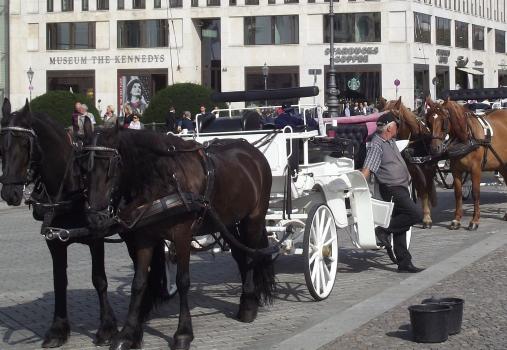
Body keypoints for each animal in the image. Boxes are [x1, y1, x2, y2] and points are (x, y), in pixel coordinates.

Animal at [0, 100, 167, 348]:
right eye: (1, 144)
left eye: (24, 143)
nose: (9, 194)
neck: (69, 184)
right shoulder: (55, 240)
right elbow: (59, 280)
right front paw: (58, 329)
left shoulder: (95, 236)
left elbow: (99, 280)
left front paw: (107, 328)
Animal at [83, 124, 276, 348]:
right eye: (83, 167)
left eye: (111, 165)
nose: (94, 218)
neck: (163, 181)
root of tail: (252, 151)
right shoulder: (145, 238)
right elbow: (138, 283)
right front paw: (127, 334)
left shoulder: (182, 236)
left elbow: (183, 281)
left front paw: (183, 333)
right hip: (228, 222)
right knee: (240, 256)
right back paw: (247, 300)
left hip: (253, 219)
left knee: (252, 257)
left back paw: (249, 306)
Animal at [382, 97, 438, 228]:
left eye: (395, 116)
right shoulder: (413, 168)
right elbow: (422, 190)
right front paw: (425, 216)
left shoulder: (428, 167)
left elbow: (427, 188)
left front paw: (427, 217)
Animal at [426, 98, 507, 230]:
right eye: (428, 122)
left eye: (443, 121)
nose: (434, 148)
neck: (466, 138)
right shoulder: (456, 170)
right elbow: (458, 193)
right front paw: (456, 220)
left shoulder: (475, 169)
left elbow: (476, 193)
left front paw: (474, 221)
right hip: (502, 165)